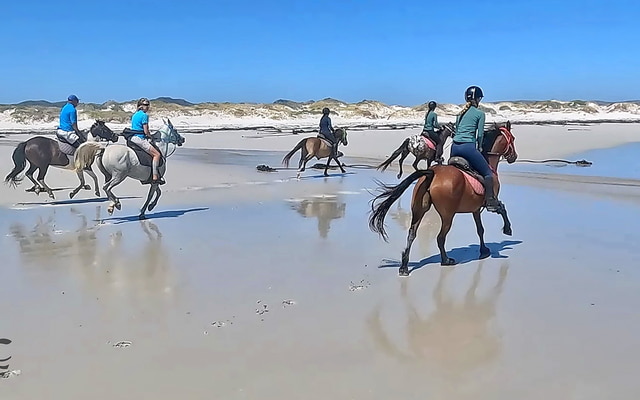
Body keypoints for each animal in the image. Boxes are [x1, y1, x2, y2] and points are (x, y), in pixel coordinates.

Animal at [368, 121, 517, 276]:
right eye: (513, 139)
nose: (514, 157)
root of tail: (431, 173)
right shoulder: (491, 201)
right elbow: (501, 209)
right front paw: (507, 229)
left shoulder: (475, 209)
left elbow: (480, 229)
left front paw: (484, 250)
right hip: (447, 215)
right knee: (440, 237)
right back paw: (446, 260)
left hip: (419, 210)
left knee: (412, 234)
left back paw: (404, 266)